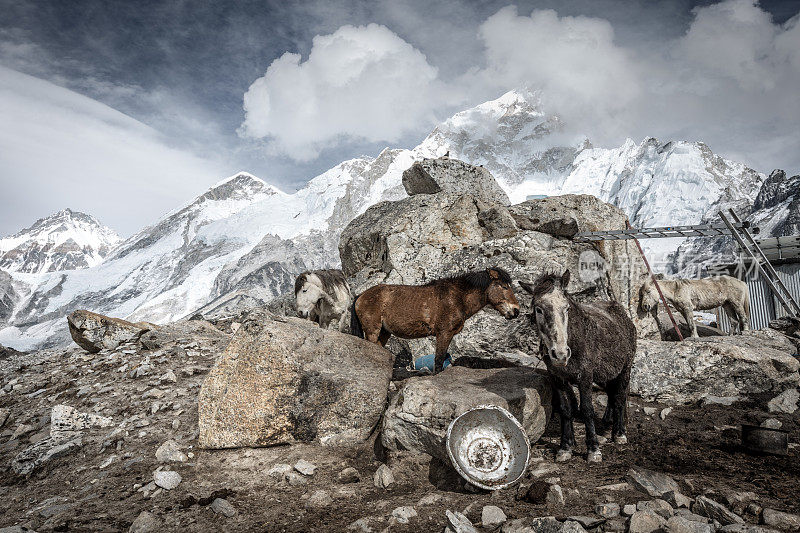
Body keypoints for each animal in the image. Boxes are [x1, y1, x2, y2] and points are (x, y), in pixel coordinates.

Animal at [350, 266, 520, 374]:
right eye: (504, 286)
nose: (516, 311)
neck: (457, 298)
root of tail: (360, 296)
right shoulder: (444, 333)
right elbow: (438, 361)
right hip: (372, 330)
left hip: (384, 332)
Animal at [520, 270, 636, 462]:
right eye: (539, 309)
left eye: (566, 308)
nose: (560, 354)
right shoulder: (557, 378)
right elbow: (565, 409)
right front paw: (565, 448)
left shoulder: (585, 377)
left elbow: (587, 409)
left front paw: (593, 450)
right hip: (606, 374)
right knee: (612, 394)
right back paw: (608, 424)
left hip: (624, 370)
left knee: (619, 397)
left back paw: (619, 433)